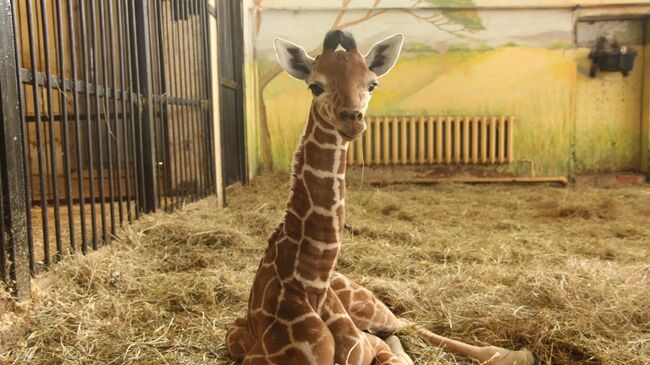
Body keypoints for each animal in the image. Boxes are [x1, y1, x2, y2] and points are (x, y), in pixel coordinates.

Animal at [225, 31, 536, 364]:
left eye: (372, 84)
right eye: (315, 85)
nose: (353, 119)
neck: (311, 284)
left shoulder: (367, 346)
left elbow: (394, 349)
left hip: (373, 309)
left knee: (406, 322)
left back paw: (515, 353)